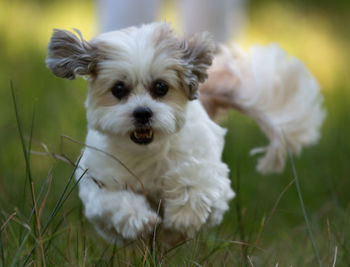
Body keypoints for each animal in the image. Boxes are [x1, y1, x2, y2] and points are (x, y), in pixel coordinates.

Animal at [45, 22, 326, 244]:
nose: (142, 112)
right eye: (118, 89)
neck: (147, 152)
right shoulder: (99, 183)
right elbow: (115, 202)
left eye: (161, 87)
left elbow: (194, 182)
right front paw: (141, 220)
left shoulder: (210, 175)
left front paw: (181, 219)